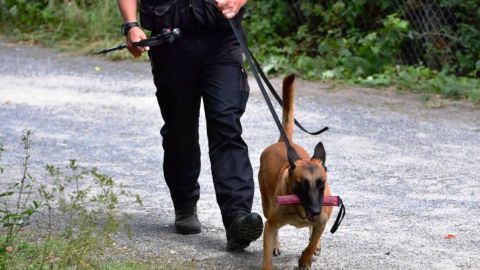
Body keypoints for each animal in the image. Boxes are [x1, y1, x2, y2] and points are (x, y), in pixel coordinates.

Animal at [258, 74, 330, 270]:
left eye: (321, 185)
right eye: (301, 185)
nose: (315, 210)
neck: (301, 210)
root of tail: (283, 141)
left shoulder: (322, 220)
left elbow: (313, 241)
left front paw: (305, 258)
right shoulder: (270, 223)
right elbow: (267, 252)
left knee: (314, 235)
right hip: (266, 205)